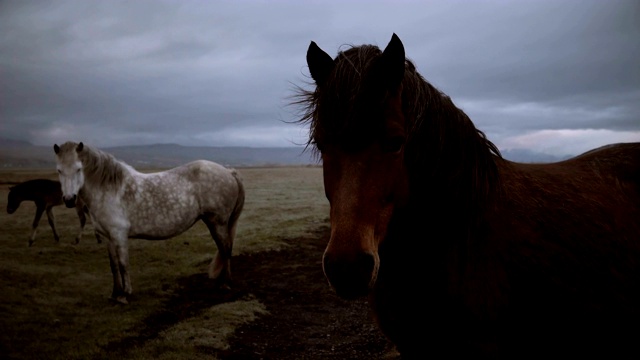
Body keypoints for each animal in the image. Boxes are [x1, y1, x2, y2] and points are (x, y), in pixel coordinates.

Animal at [53, 141, 245, 304]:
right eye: (59, 170)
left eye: (78, 169)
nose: (69, 200)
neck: (109, 190)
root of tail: (228, 172)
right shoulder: (108, 237)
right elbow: (113, 266)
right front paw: (115, 294)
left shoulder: (119, 235)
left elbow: (123, 264)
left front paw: (125, 295)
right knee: (224, 249)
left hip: (217, 223)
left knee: (225, 249)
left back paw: (225, 283)